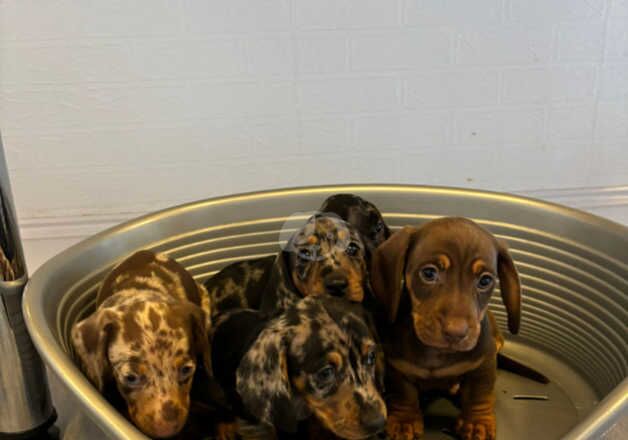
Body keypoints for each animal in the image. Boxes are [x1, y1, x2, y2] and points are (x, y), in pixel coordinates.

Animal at [370, 217, 524, 440]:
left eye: (485, 280)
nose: (456, 332)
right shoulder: (396, 366)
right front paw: (404, 421)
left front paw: (476, 422)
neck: (438, 353)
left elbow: (479, 393)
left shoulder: (484, 362)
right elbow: (403, 394)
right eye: (429, 273)